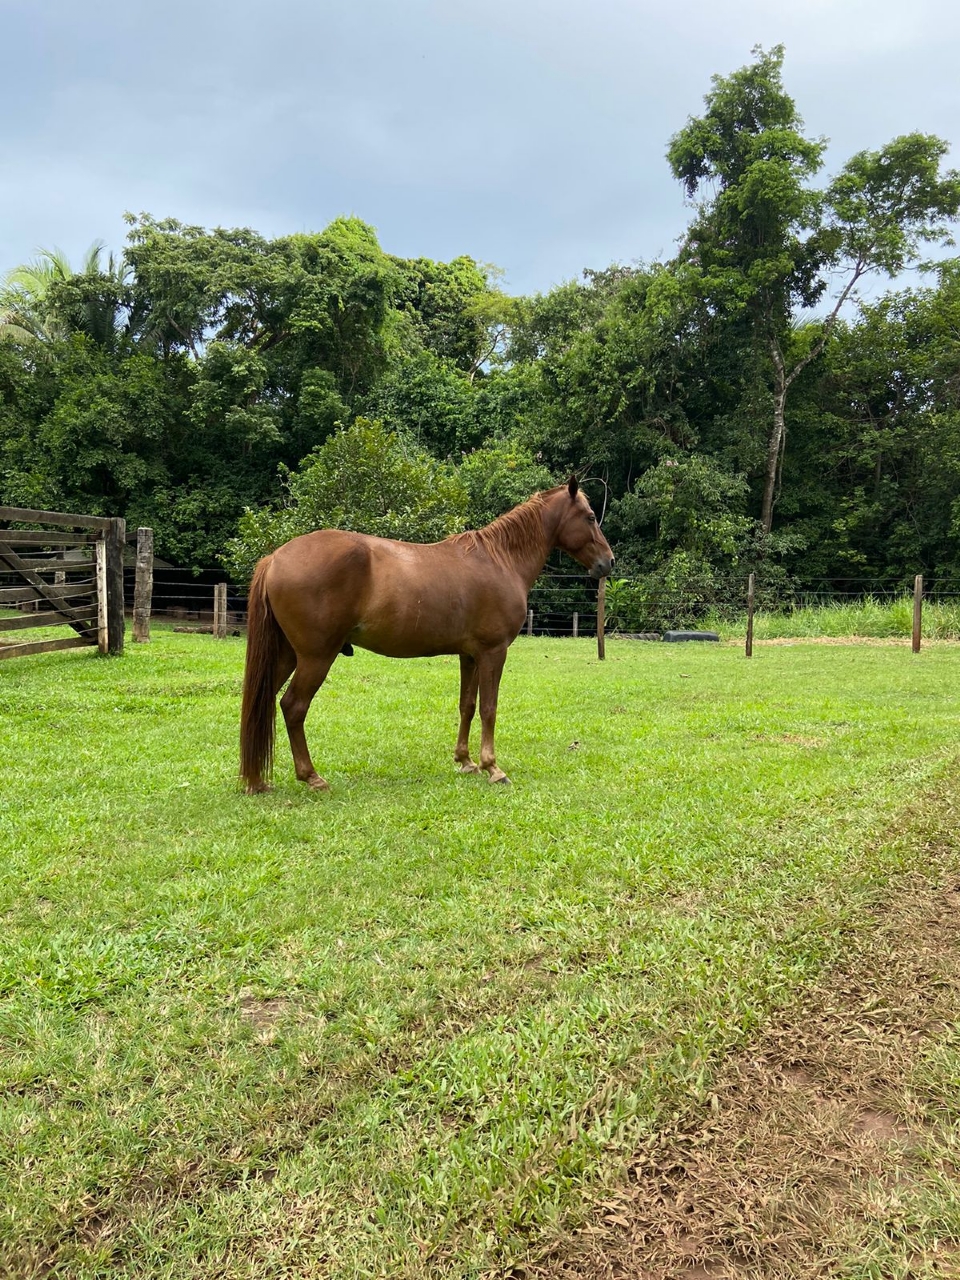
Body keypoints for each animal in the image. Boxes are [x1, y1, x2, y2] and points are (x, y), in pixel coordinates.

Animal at [240, 478, 616, 788]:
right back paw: (311, 777)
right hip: (316, 657)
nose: (608, 562)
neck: (500, 560)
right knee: (293, 706)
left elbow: (467, 705)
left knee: (264, 703)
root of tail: (275, 558)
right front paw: (493, 768)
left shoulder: (470, 655)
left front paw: (466, 761)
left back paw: (257, 780)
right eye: (589, 516)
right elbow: (489, 707)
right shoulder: (494, 652)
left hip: (286, 655)